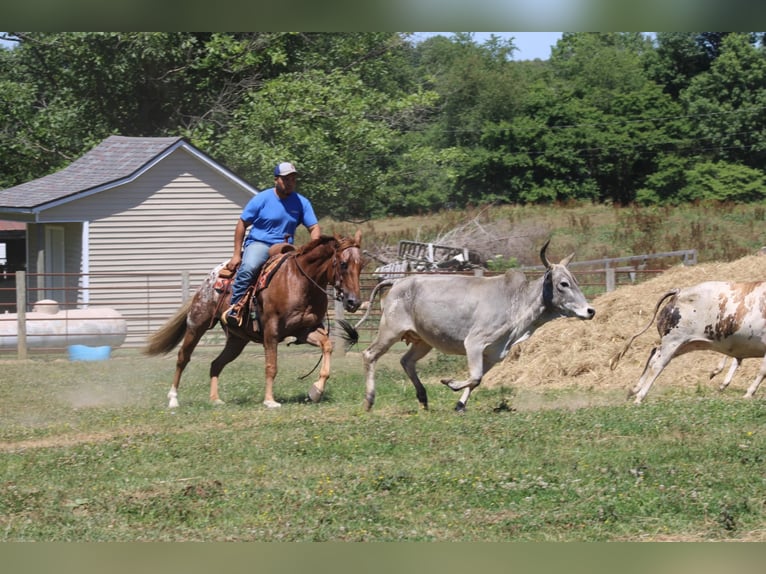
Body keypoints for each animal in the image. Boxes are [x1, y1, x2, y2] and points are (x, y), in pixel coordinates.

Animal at [145, 233, 366, 410]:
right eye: (343, 264)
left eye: (361, 265)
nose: (354, 301)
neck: (300, 281)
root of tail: (205, 284)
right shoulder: (271, 331)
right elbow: (271, 366)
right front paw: (270, 400)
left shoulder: (305, 330)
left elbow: (327, 346)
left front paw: (316, 391)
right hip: (196, 326)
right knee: (183, 358)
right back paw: (173, 399)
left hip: (237, 340)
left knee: (216, 364)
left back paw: (215, 399)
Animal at [340, 241, 596, 412]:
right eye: (563, 284)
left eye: (575, 281)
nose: (590, 311)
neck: (516, 302)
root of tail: (398, 282)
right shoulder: (474, 343)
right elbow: (475, 377)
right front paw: (450, 383)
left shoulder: (494, 353)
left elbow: (477, 379)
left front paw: (459, 404)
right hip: (390, 331)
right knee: (369, 355)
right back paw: (369, 401)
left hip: (423, 341)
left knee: (407, 361)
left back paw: (423, 398)